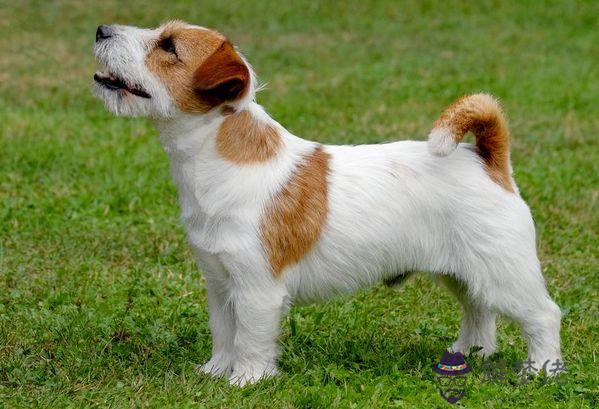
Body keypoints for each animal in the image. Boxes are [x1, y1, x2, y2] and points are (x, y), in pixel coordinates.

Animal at [92, 20, 563, 386]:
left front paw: (245, 381)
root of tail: (488, 160)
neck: (218, 157)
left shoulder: (256, 289)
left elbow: (250, 339)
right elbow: (225, 334)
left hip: (505, 274)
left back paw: (540, 369)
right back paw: (467, 354)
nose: (101, 30)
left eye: (168, 46)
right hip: (463, 272)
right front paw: (214, 372)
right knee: (479, 311)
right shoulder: (220, 283)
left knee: (543, 315)